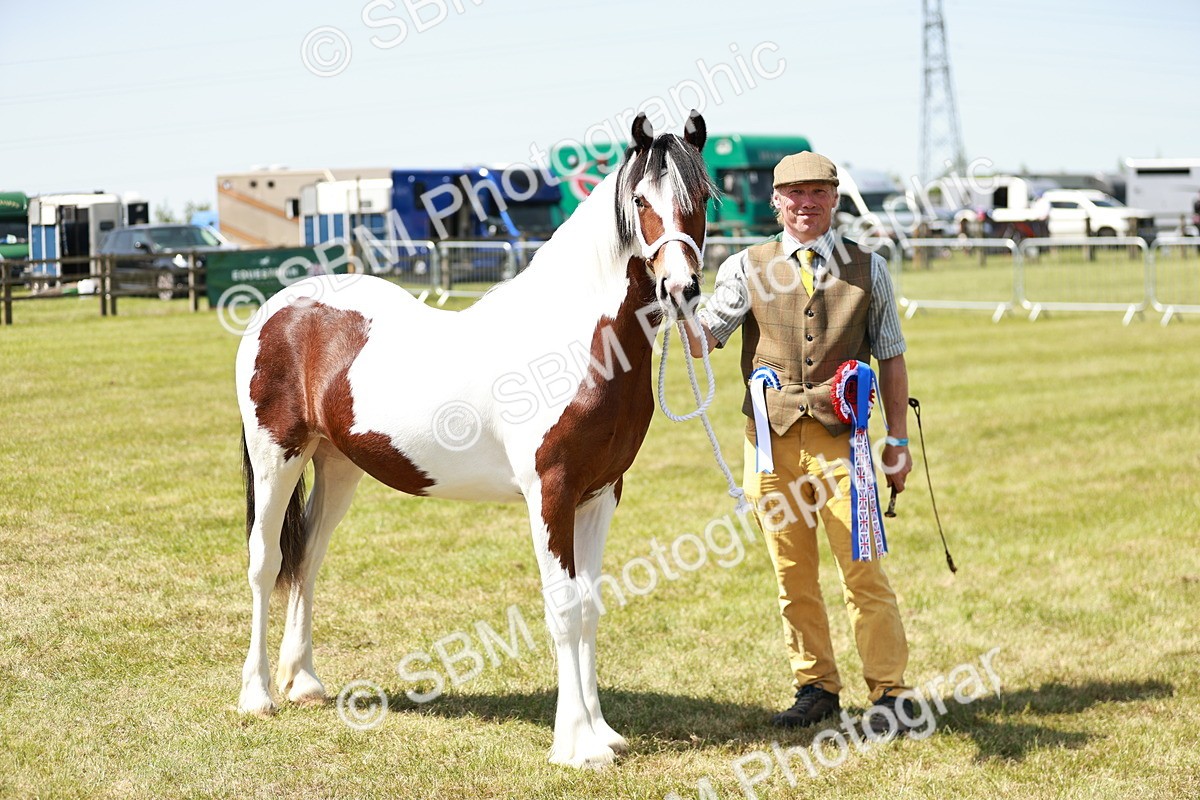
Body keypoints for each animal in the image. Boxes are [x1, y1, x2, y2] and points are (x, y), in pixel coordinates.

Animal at [234, 111, 714, 768]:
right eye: (640, 199)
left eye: (703, 199)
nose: (681, 287)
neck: (569, 341)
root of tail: (278, 309)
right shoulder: (551, 494)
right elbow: (564, 608)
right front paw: (576, 745)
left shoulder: (600, 494)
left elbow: (591, 606)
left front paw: (603, 733)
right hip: (276, 457)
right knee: (267, 562)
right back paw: (257, 696)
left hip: (336, 464)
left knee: (307, 557)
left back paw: (304, 683)